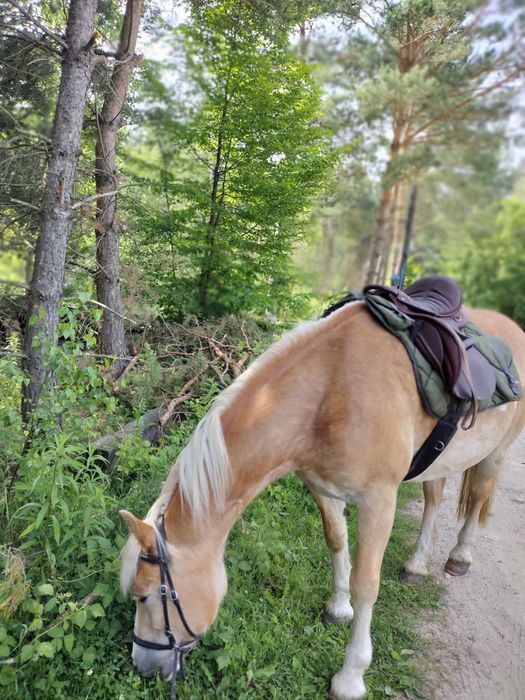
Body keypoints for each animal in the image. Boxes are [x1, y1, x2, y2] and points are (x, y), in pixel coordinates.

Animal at [118, 300, 524, 700]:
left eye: (144, 596)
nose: (141, 666)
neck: (328, 390)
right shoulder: (323, 488)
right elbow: (336, 540)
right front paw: (339, 607)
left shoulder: (379, 501)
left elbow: (367, 584)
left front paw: (351, 677)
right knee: (434, 499)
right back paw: (416, 563)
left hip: (496, 453)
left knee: (477, 499)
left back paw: (460, 557)